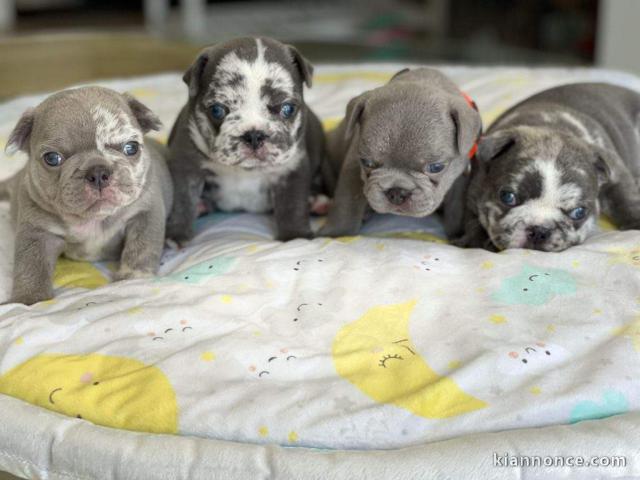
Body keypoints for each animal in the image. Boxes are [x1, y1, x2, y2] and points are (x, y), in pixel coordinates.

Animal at [1, 86, 172, 304]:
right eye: (52, 158)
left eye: (131, 147)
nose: (98, 172)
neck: (93, 219)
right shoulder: (37, 232)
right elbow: (31, 266)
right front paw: (29, 300)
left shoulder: (144, 214)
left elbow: (141, 248)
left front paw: (132, 278)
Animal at [166, 36, 324, 244]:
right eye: (217, 110)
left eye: (287, 108)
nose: (254, 134)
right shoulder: (186, 168)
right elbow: (182, 201)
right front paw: (176, 235)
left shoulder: (291, 170)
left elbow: (293, 205)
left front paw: (295, 237)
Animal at [318, 67, 480, 236]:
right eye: (367, 163)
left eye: (436, 167)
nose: (397, 193)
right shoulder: (352, 169)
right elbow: (347, 203)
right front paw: (335, 233)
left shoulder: (459, 177)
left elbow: (456, 207)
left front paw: (458, 234)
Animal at [450, 83, 640, 253]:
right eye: (507, 197)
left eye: (579, 212)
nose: (540, 230)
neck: (552, 126)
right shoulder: (474, 190)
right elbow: (473, 220)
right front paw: (475, 242)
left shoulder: (616, 173)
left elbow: (625, 199)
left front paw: (635, 223)